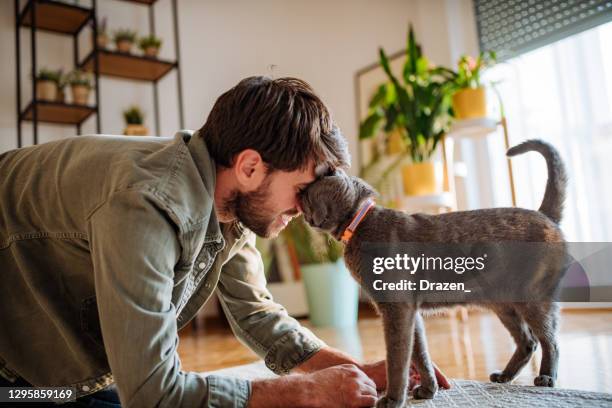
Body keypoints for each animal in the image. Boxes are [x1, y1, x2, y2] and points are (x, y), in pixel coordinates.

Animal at [302, 140, 568, 408]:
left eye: (305, 197)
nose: (303, 215)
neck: (358, 225)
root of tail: (544, 214)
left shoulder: (396, 309)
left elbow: (397, 358)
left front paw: (393, 399)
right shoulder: (410, 311)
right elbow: (419, 353)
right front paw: (429, 389)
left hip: (532, 297)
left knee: (550, 340)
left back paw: (546, 378)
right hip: (502, 304)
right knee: (528, 342)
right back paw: (504, 376)